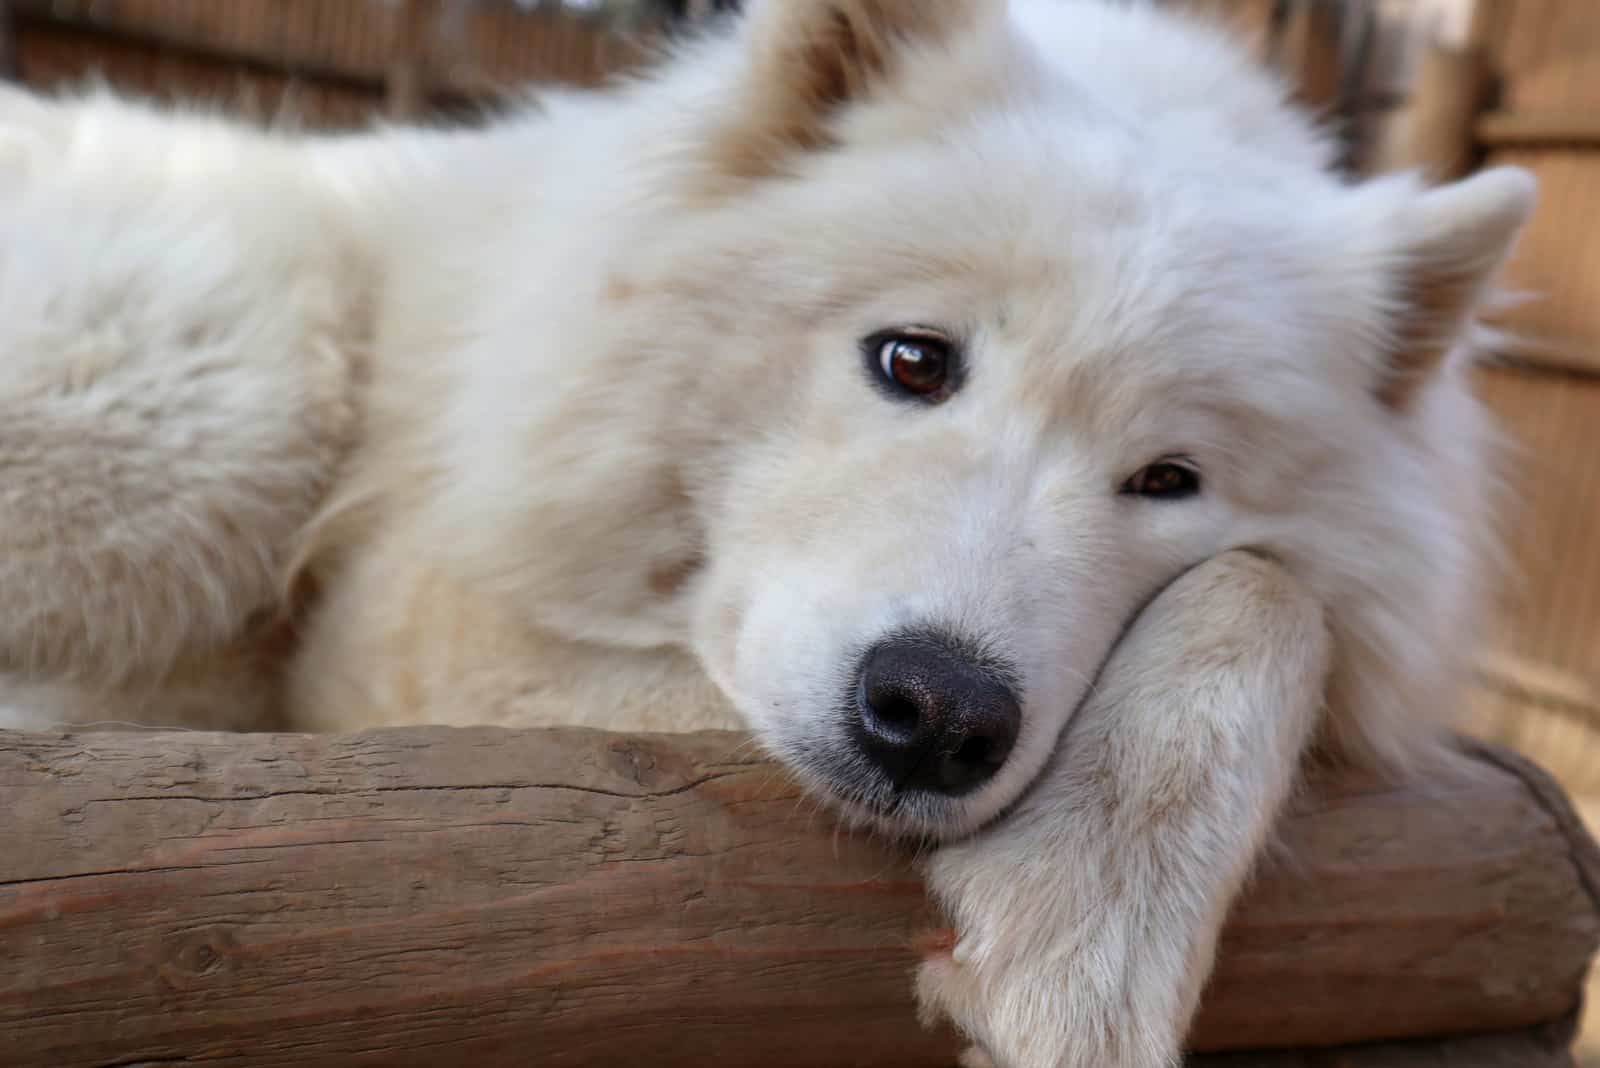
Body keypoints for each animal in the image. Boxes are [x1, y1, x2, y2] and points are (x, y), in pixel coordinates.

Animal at [0, 2, 1529, 1068]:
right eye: (912, 360)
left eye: (1169, 479)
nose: (939, 714)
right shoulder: (405, 618)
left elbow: (1268, 596)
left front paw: (1087, 925)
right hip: (227, 397)